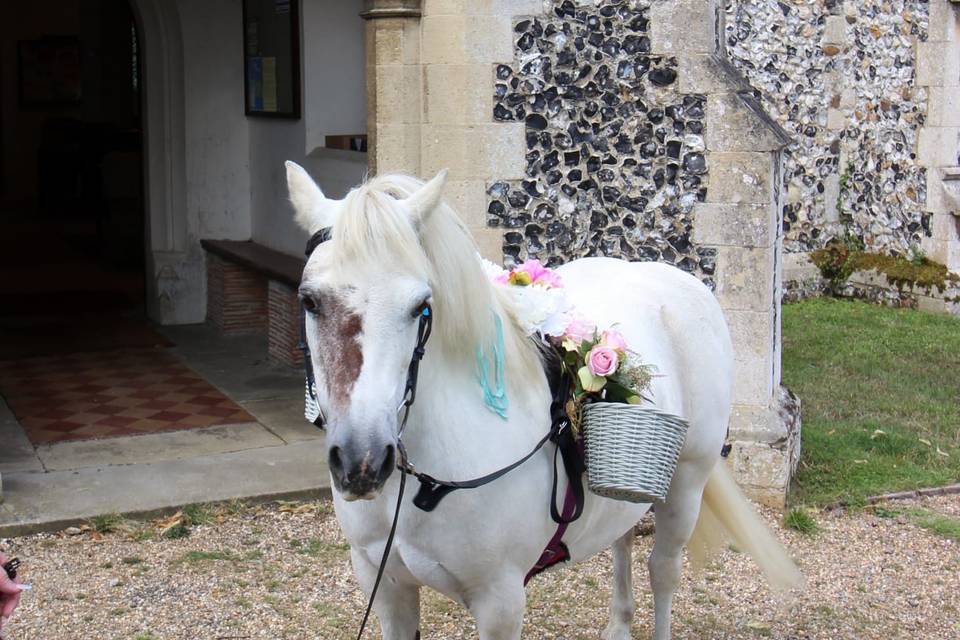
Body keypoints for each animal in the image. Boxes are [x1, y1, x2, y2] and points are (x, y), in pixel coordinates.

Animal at [286, 164, 804, 640]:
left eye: (420, 306)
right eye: (309, 300)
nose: (363, 462)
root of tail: (676, 279)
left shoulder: (500, 602)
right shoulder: (387, 587)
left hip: (685, 486)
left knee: (663, 572)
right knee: (622, 540)